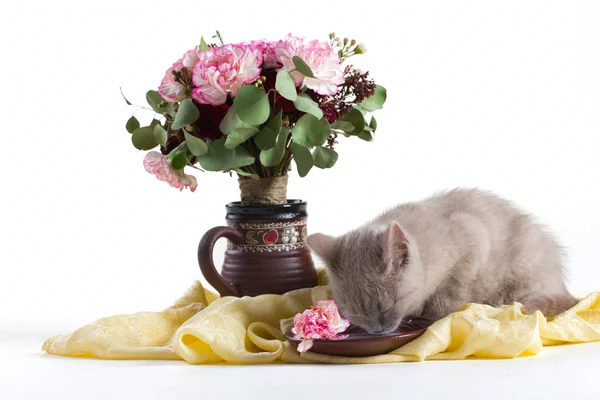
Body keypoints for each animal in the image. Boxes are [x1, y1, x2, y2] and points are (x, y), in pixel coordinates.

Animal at [308, 189, 580, 332]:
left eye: (386, 307)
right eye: (355, 314)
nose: (378, 330)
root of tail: (560, 284)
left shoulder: (472, 240)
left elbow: (450, 293)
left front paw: (434, 318)